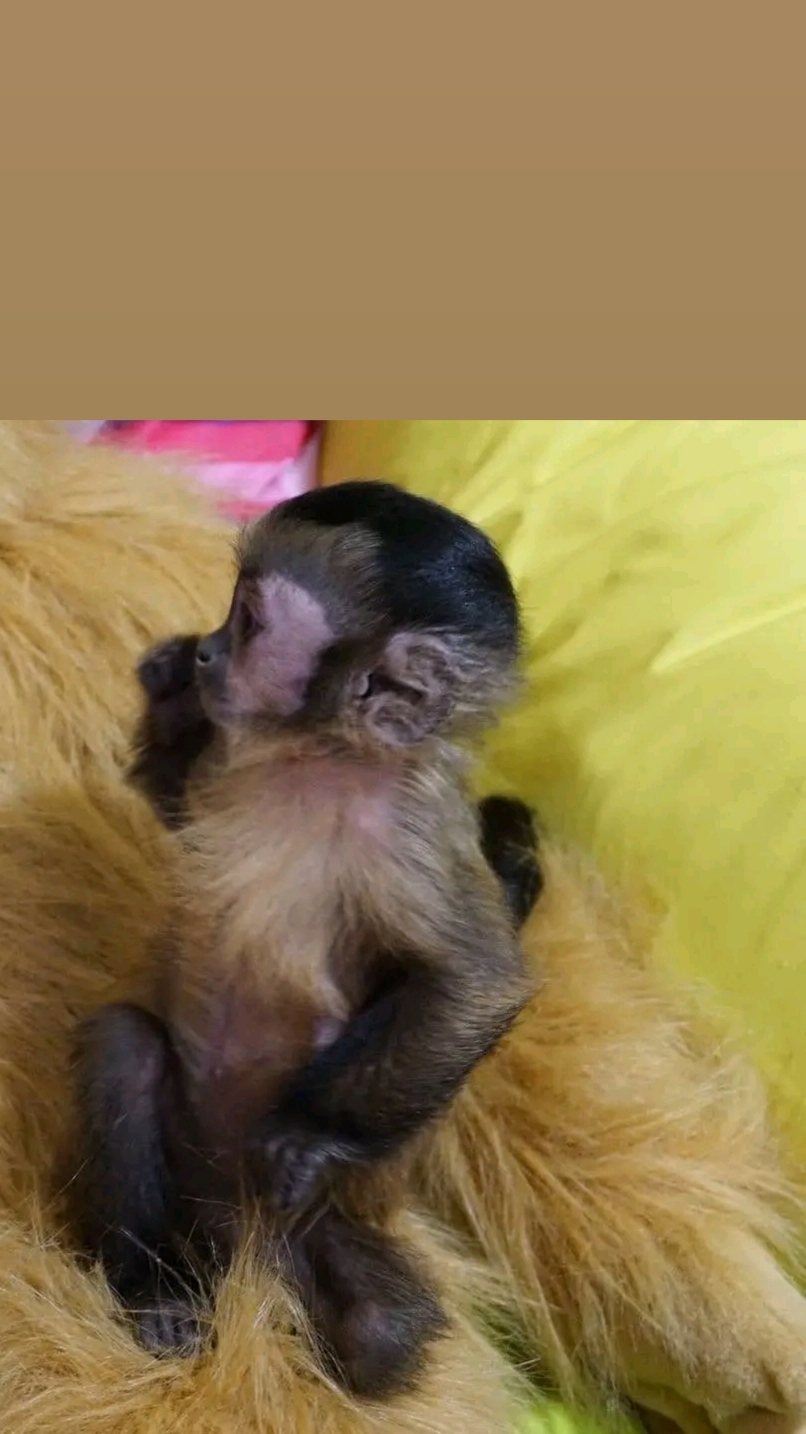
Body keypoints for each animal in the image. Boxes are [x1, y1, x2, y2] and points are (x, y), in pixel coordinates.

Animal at [70, 481, 539, 1399]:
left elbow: (475, 980)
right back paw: (158, 1289)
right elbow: (173, 805)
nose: (207, 653)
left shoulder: (412, 832)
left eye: (249, 621)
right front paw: (166, 685)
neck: (321, 760)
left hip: (309, 1221)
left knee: (383, 1333)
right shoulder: (230, 753)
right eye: (227, 614)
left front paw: (314, 1136)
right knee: (126, 1050)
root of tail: (232, 1236)